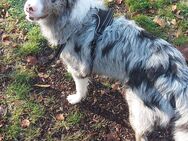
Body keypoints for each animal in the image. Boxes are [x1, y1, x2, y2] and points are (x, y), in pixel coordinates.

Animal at [24, 0, 188, 140]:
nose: (28, 7)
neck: (73, 20)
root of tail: (177, 75)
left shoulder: (78, 68)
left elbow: (80, 89)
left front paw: (76, 99)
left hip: (138, 110)